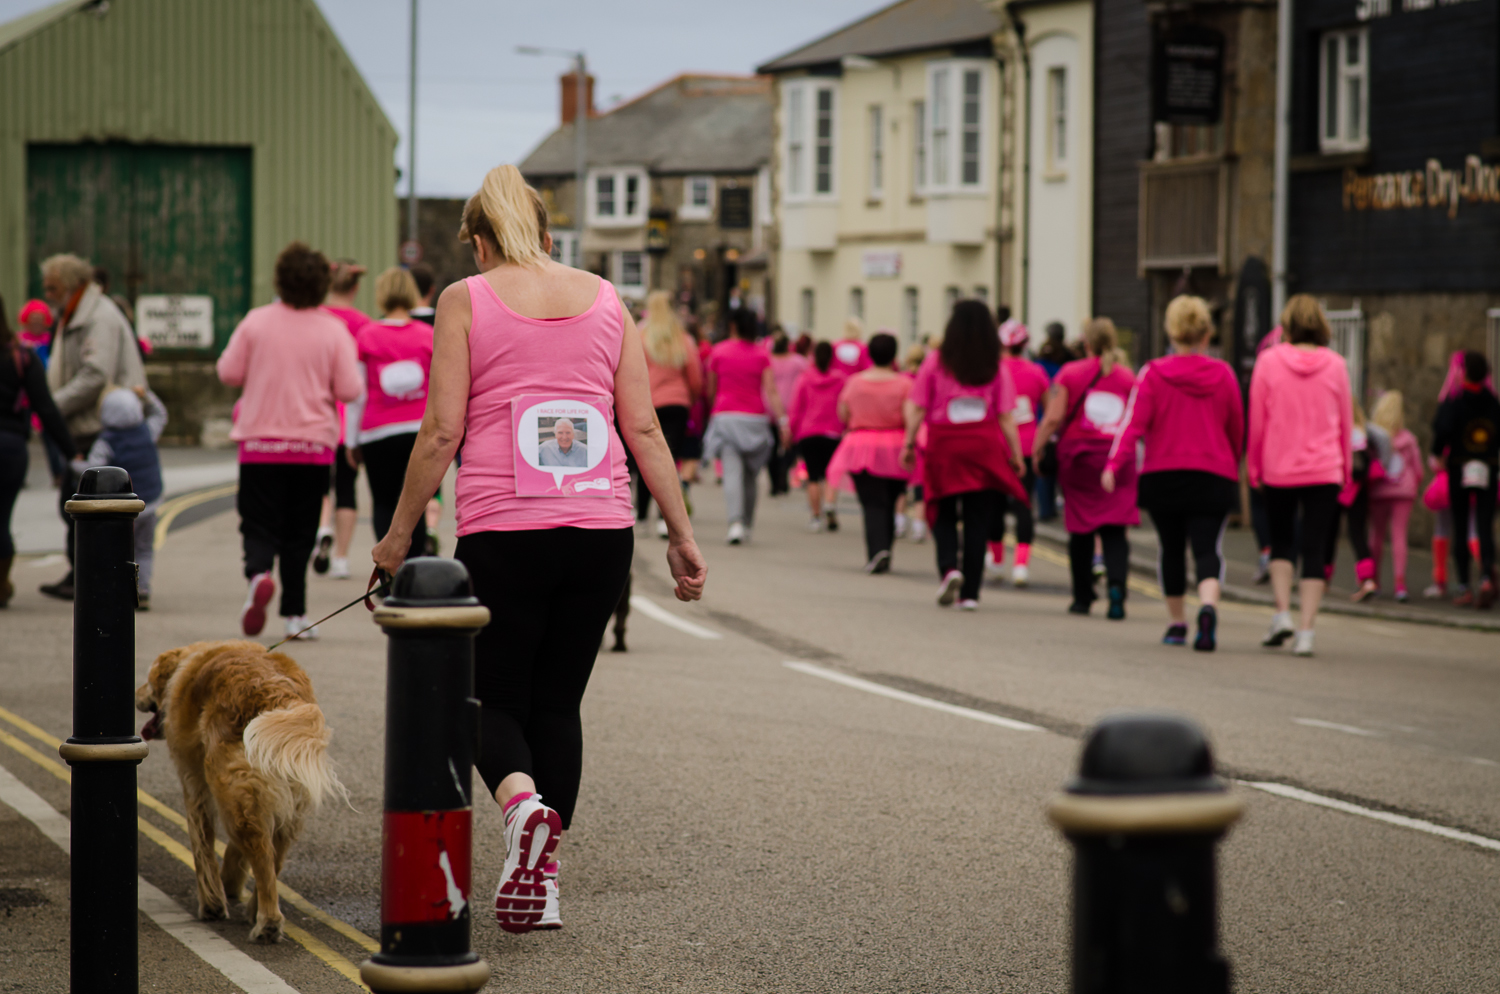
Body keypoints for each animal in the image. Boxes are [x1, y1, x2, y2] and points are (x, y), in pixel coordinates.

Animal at [132, 641, 345, 947]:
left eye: (149, 681)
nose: (136, 695)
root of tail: (276, 692)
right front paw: (231, 883)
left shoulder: (194, 783)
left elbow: (202, 846)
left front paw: (212, 902)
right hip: (281, 802)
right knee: (273, 856)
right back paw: (255, 908)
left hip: (229, 791)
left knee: (262, 859)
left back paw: (267, 923)